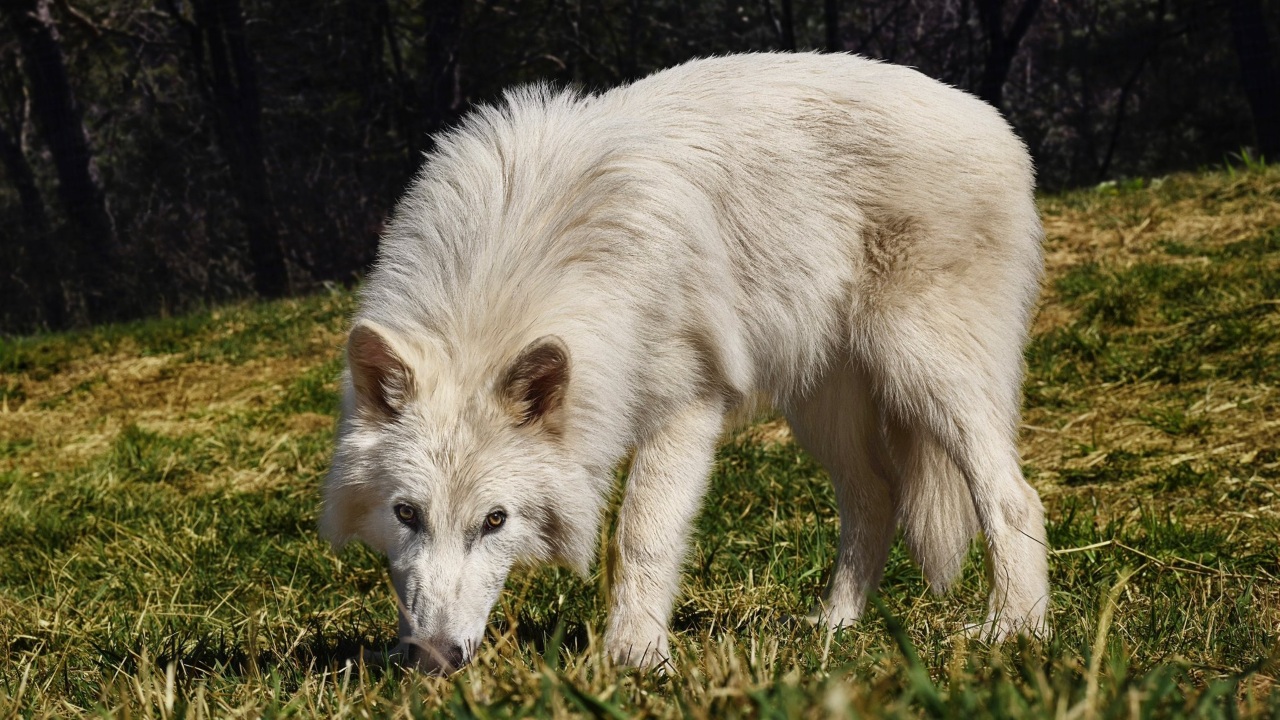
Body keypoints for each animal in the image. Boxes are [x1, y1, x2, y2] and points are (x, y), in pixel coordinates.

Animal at [321, 52, 1048, 673]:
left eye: (495, 520)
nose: (433, 660)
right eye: (406, 514)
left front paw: (637, 658)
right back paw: (835, 627)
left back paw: (1015, 629)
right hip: (823, 409)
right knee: (876, 497)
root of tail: (993, 120)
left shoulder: (688, 407)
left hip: (926, 374)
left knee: (1012, 495)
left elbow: (642, 534)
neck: (515, 264)